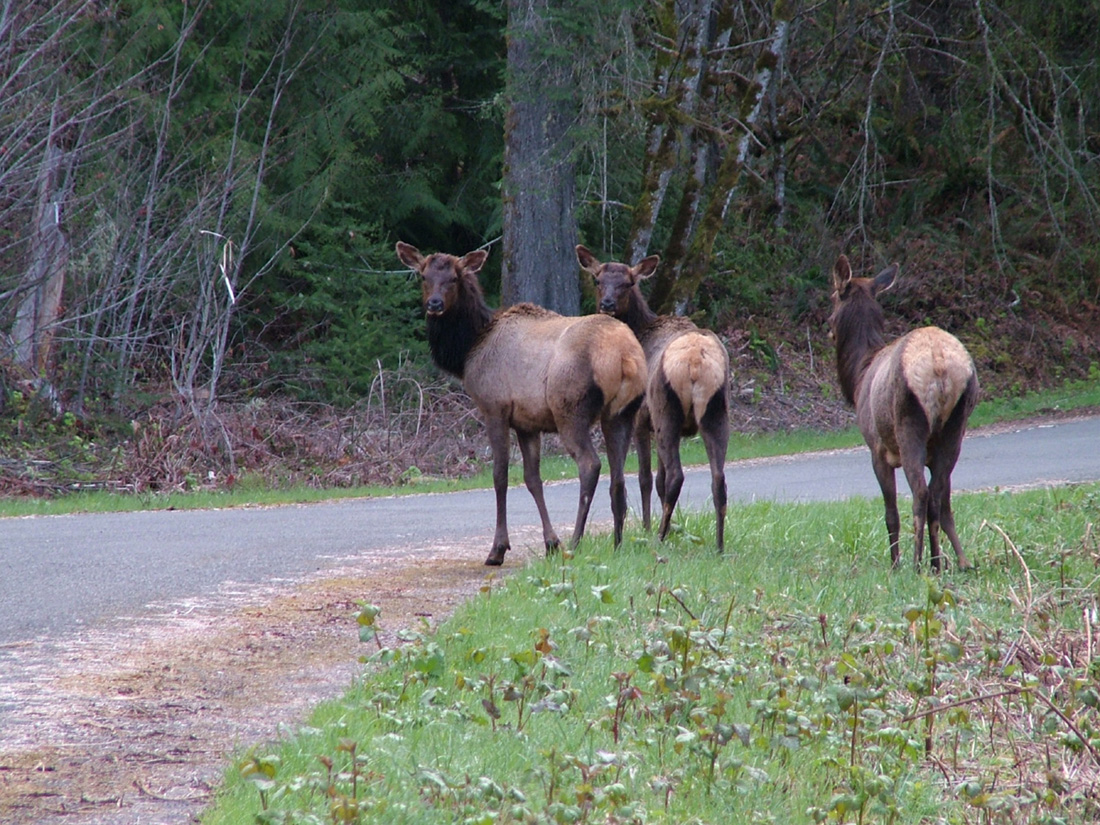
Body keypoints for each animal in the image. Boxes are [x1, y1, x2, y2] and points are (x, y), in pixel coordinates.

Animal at [396, 242, 647, 566]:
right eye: (424, 276)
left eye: (454, 278)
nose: (435, 304)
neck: (467, 350)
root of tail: (626, 356)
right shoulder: (528, 422)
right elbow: (532, 479)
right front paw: (550, 542)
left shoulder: (494, 408)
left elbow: (500, 475)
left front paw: (498, 549)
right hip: (622, 413)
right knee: (618, 476)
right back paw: (616, 545)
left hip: (570, 410)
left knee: (590, 465)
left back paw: (575, 542)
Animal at [577, 245, 730, 551]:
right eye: (598, 280)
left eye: (628, 283)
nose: (607, 304)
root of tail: (695, 361)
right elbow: (657, 479)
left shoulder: (640, 419)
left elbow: (647, 478)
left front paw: (647, 528)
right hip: (717, 409)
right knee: (718, 478)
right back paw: (719, 547)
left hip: (664, 410)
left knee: (676, 475)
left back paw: (658, 537)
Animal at [828, 253, 979, 571]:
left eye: (832, 304)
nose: (829, 330)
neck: (859, 376)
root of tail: (939, 365)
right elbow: (944, 506)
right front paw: (956, 560)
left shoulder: (877, 449)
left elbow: (891, 513)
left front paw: (894, 563)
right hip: (955, 427)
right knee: (937, 496)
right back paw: (941, 562)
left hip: (909, 422)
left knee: (920, 493)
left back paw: (916, 563)